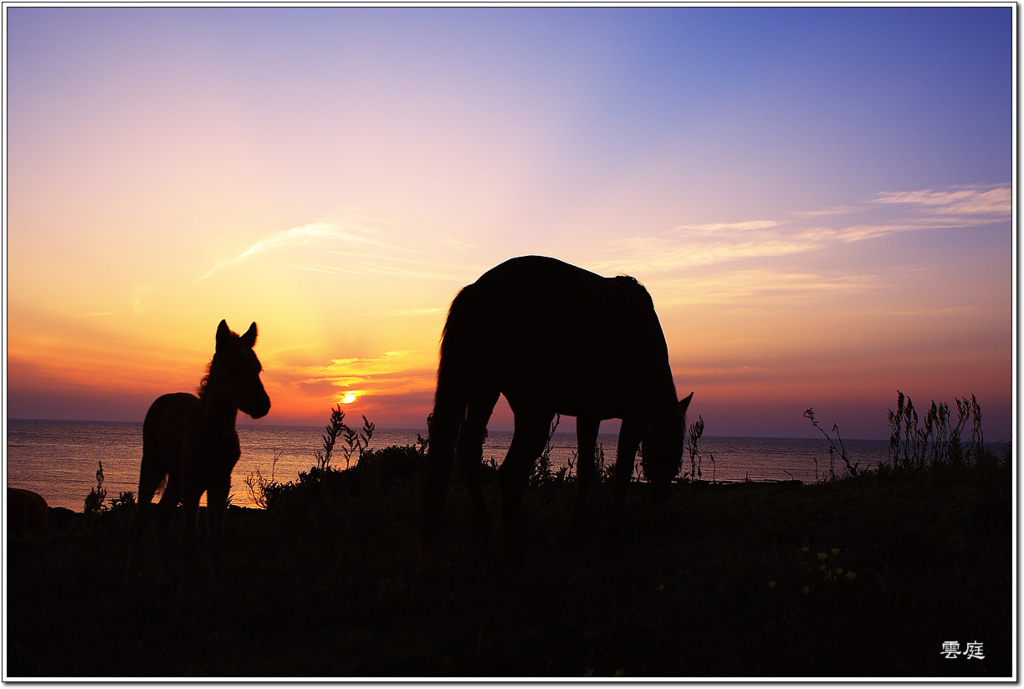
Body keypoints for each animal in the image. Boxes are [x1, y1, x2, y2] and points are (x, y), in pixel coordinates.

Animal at [124, 319, 270, 610]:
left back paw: (164, 585)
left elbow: (216, 538)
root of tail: (164, 399)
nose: (262, 404)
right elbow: (190, 540)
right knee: (140, 520)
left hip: (176, 478)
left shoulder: (220, 483)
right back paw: (130, 586)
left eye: (257, 368)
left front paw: (214, 596)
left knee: (162, 516)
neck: (211, 432)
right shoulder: (193, 484)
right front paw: (184, 597)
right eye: (232, 367)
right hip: (154, 466)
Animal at [417, 253, 696, 565]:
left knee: (468, 447)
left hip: (483, 389)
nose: (662, 495)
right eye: (674, 444)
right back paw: (514, 555)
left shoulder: (589, 415)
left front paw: (577, 530)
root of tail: (484, 287)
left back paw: (482, 532)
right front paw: (613, 541)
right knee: (511, 473)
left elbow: (587, 468)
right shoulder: (638, 412)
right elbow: (623, 471)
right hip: (534, 411)